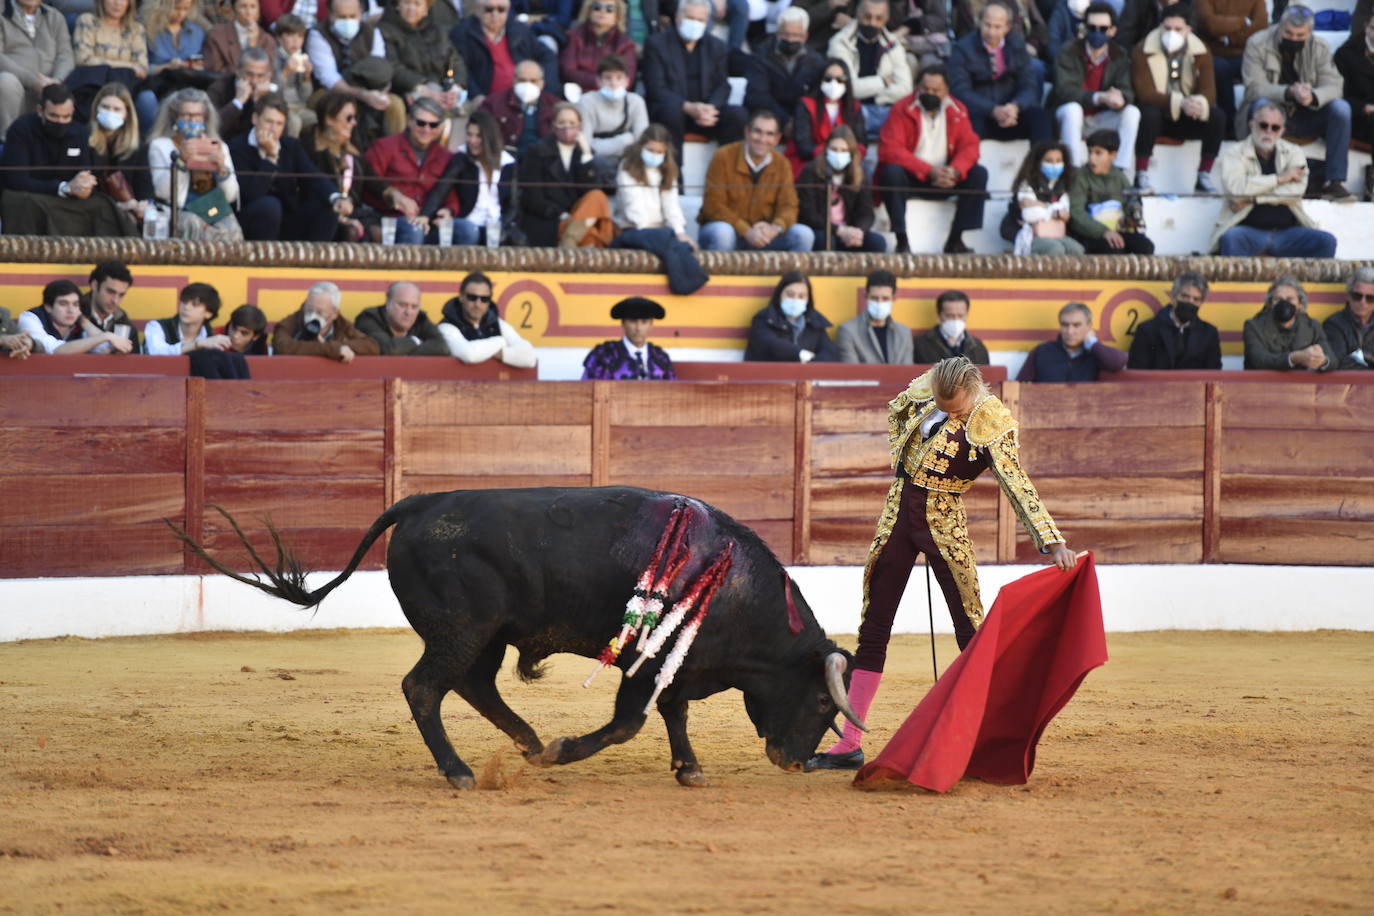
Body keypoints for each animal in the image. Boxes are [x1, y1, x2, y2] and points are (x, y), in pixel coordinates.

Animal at [166, 486, 862, 791]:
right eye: (822, 702)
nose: (795, 761)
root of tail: (418, 504)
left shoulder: (674, 662)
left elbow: (672, 712)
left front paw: (687, 769)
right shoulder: (649, 661)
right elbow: (630, 722)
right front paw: (563, 751)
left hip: (488, 636)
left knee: (473, 686)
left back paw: (523, 742)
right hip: (461, 630)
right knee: (424, 687)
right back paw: (462, 771)